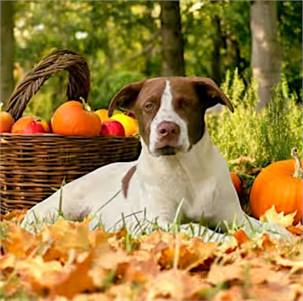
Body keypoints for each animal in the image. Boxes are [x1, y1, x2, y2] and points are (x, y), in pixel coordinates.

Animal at [22, 78, 292, 241]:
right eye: (149, 106)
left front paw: (284, 237)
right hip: (59, 206)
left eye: (185, 104)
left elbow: (264, 226)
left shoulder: (235, 217)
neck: (185, 170)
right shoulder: (156, 222)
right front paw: (224, 240)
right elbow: (195, 228)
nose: (167, 129)